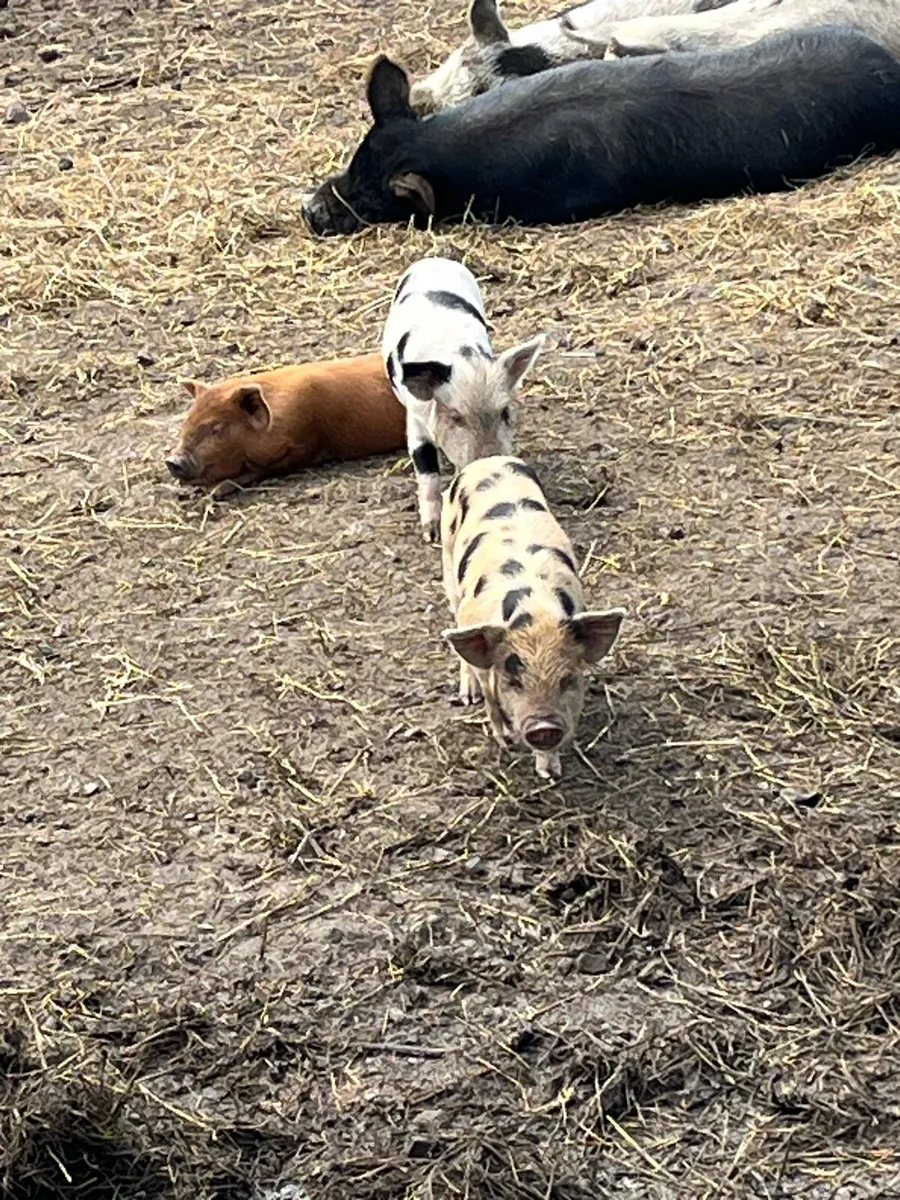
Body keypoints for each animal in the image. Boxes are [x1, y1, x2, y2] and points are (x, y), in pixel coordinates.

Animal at [382, 257, 544, 542]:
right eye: (456, 417)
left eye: (505, 412)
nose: (490, 459)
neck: (460, 356)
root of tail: (435, 258)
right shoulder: (415, 418)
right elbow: (426, 468)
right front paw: (431, 534)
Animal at [441, 455, 624, 780]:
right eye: (514, 681)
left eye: (567, 679)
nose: (543, 727)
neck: (535, 611)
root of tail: (488, 460)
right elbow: (490, 695)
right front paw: (505, 741)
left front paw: (550, 773)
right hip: (448, 560)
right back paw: (468, 697)